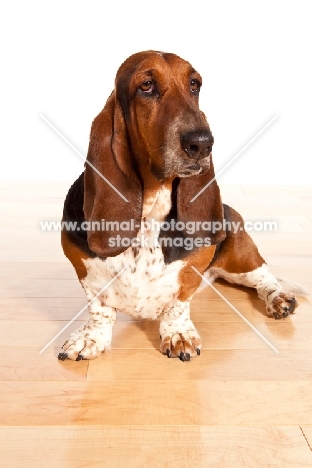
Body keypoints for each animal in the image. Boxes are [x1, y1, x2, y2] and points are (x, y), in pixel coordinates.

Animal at [57, 50, 304, 362]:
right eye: (146, 85)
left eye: (194, 84)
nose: (202, 143)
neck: (150, 208)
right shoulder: (83, 269)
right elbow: (99, 309)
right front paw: (90, 339)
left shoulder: (193, 269)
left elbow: (179, 302)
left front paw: (178, 335)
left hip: (240, 255)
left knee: (263, 276)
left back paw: (279, 298)